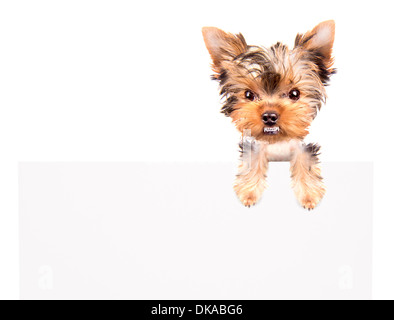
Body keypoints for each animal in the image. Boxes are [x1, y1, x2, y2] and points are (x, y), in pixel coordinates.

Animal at [203, 20, 336, 210]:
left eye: (294, 94)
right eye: (249, 95)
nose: (269, 116)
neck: (276, 142)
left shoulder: (302, 147)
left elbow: (306, 161)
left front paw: (309, 194)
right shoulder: (254, 146)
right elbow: (252, 162)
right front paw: (249, 191)